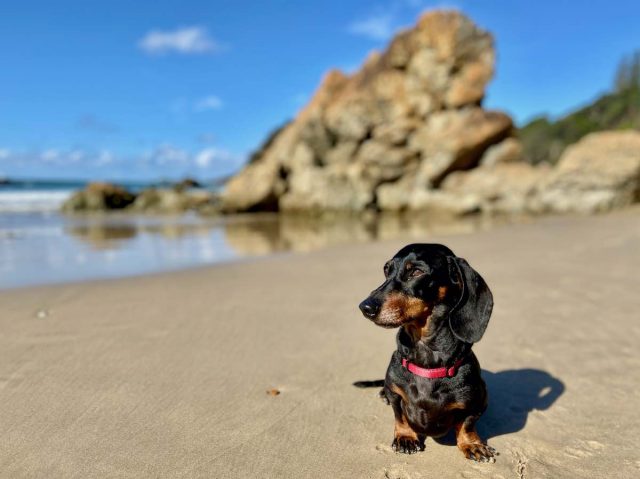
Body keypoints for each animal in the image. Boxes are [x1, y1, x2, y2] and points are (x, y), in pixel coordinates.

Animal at [358, 246, 498, 464]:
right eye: (386, 270)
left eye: (416, 272)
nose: (365, 307)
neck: (427, 361)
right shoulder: (395, 393)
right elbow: (399, 415)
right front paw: (406, 437)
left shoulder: (477, 402)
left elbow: (466, 423)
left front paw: (473, 444)